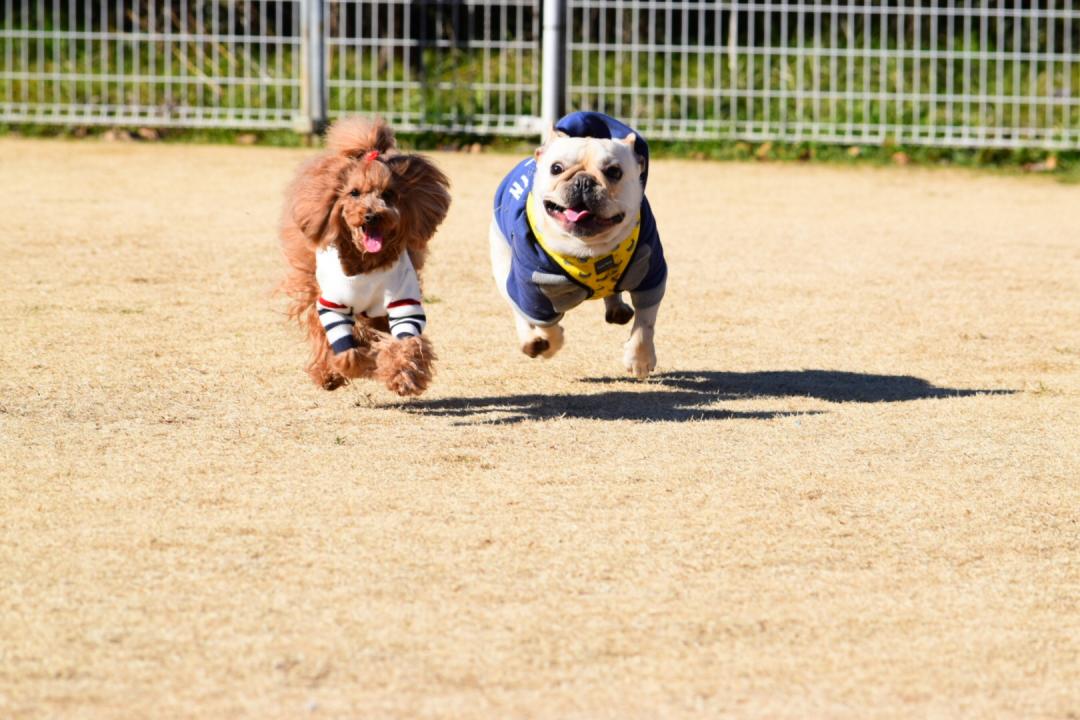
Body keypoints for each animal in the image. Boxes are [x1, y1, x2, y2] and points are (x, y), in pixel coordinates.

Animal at [492, 111, 665, 377]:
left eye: (614, 172)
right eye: (556, 168)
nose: (584, 181)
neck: (589, 248)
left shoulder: (650, 273)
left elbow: (645, 323)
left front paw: (640, 359)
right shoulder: (532, 287)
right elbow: (545, 323)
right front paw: (550, 343)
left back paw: (616, 308)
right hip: (503, 266)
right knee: (516, 306)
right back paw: (532, 341)